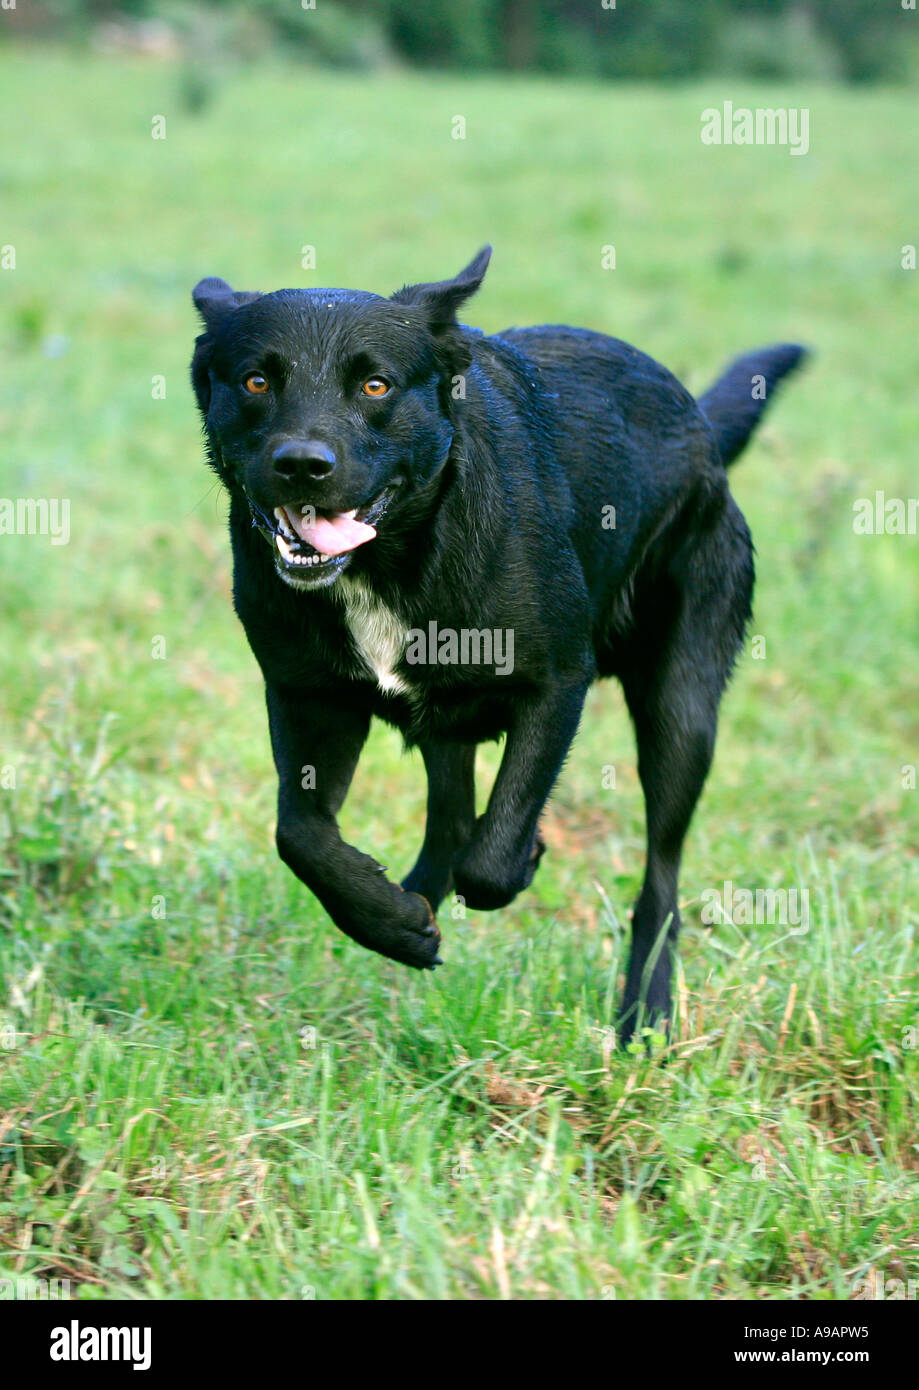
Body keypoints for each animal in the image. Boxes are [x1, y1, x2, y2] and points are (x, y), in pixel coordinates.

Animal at [187, 250, 800, 1045]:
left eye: (376, 385)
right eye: (257, 381)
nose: (301, 464)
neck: (388, 562)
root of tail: (697, 421)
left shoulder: (555, 684)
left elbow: (495, 852)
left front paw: (520, 857)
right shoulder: (305, 697)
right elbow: (301, 834)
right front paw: (390, 922)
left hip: (681, 709)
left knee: (658, 877)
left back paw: (646, 1014)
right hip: (445, 718)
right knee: (448, 820)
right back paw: (411, 903)